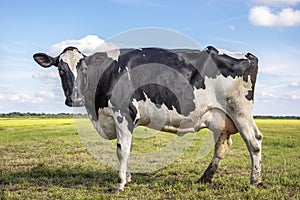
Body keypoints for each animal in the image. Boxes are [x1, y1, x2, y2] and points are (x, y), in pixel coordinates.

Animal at [33, 45, 262, 192]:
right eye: (61, 70)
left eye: (84, 70)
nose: (75, 99)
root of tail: (248, 55)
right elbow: (128, 148)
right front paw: (128, 179)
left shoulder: (123, 114)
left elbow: (122, 150)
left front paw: (120, 184)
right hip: (220, 117)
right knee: (222, 146)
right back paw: (205, 179)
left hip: (239, 110)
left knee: (254, 141)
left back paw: (255, 181)